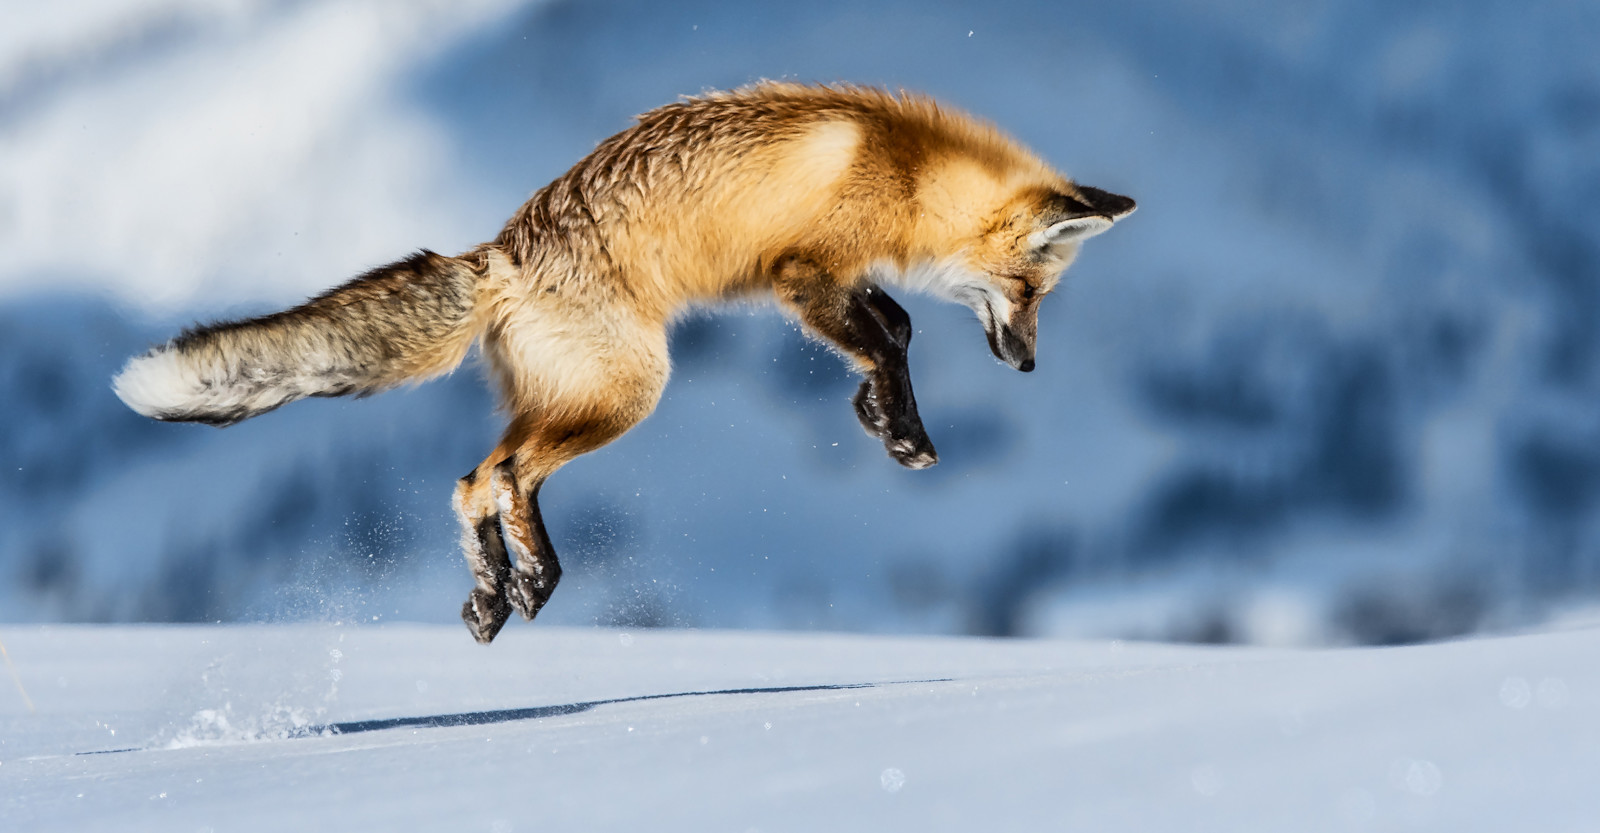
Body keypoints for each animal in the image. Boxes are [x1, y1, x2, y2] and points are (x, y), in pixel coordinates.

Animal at [112, 82, 1139, 642]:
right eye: (1031, 290)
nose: (1027, 367)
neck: (905, 167)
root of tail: (500, 254)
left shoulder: (828, 280)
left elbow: (892, 326)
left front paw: (877, 416)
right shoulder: (801, 272)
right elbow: (890, 334)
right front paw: (903, 432)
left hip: (569, 395)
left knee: (472, 480)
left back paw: (495, 593)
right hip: (628, 392)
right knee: (505, 476)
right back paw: (534, 577)